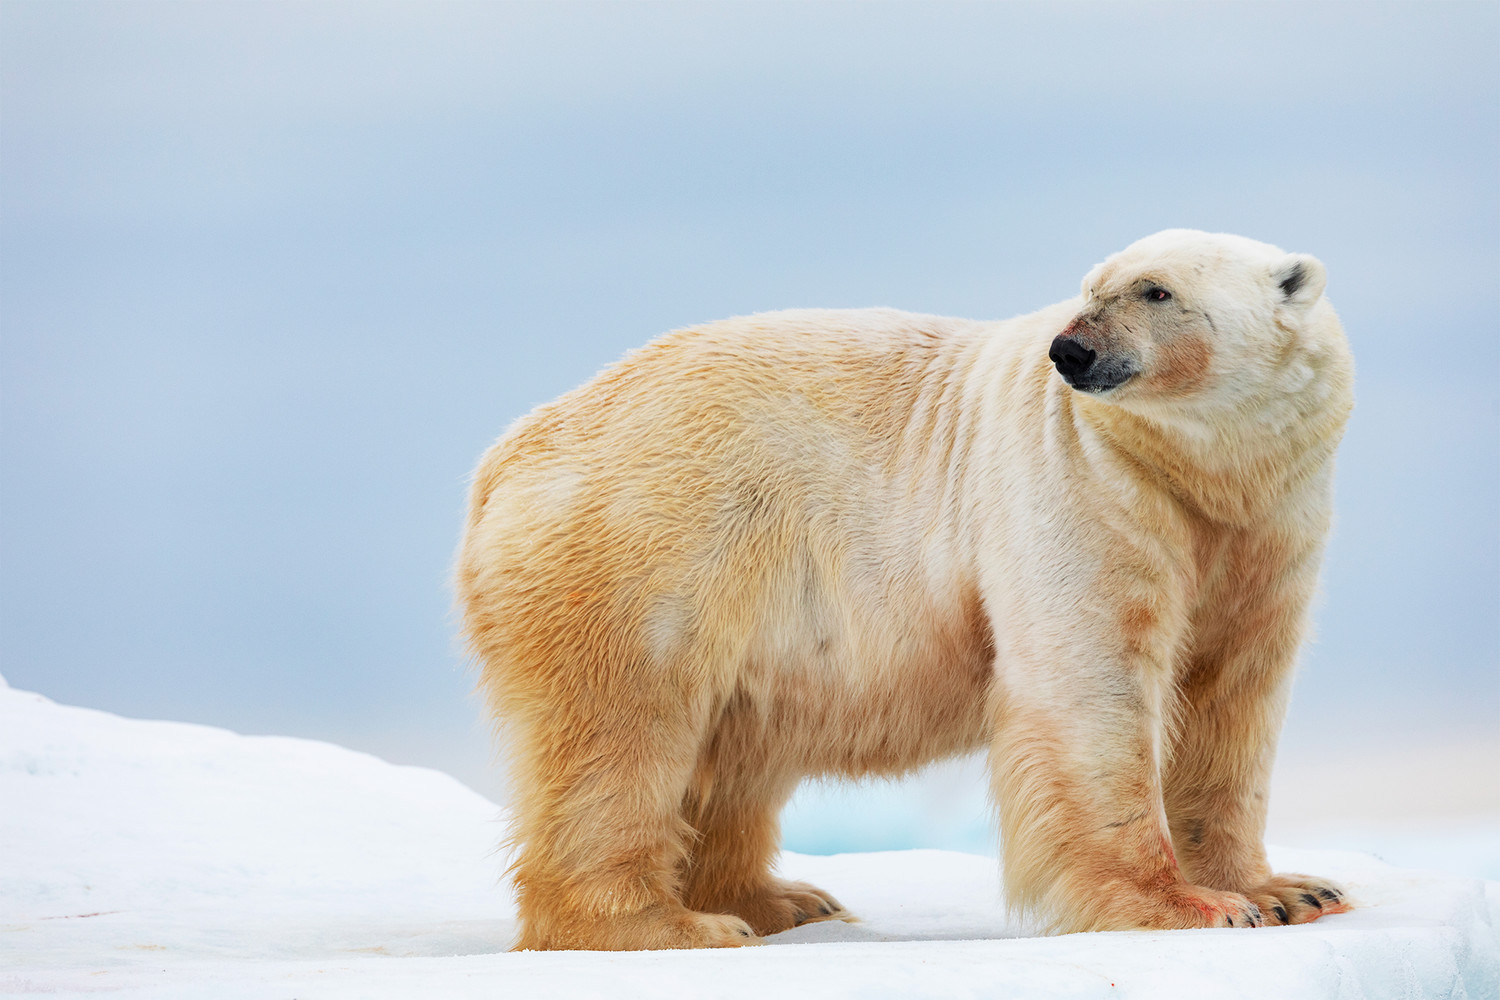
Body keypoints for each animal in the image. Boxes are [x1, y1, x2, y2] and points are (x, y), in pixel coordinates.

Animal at [450, 230, 1356, 953]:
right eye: (1092, 288)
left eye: (1155, 290)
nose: (1070, 352)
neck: (1201, 476)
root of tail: (507, 455)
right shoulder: (1085, 484)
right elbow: (1093, 682)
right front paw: (1190, 906)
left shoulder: (1265, 529)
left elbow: (1231, 697)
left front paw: (1290, 891)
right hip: (649, 546)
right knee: (623, 730)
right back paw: (666, 923)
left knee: (731, 749)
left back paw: (782, 900)